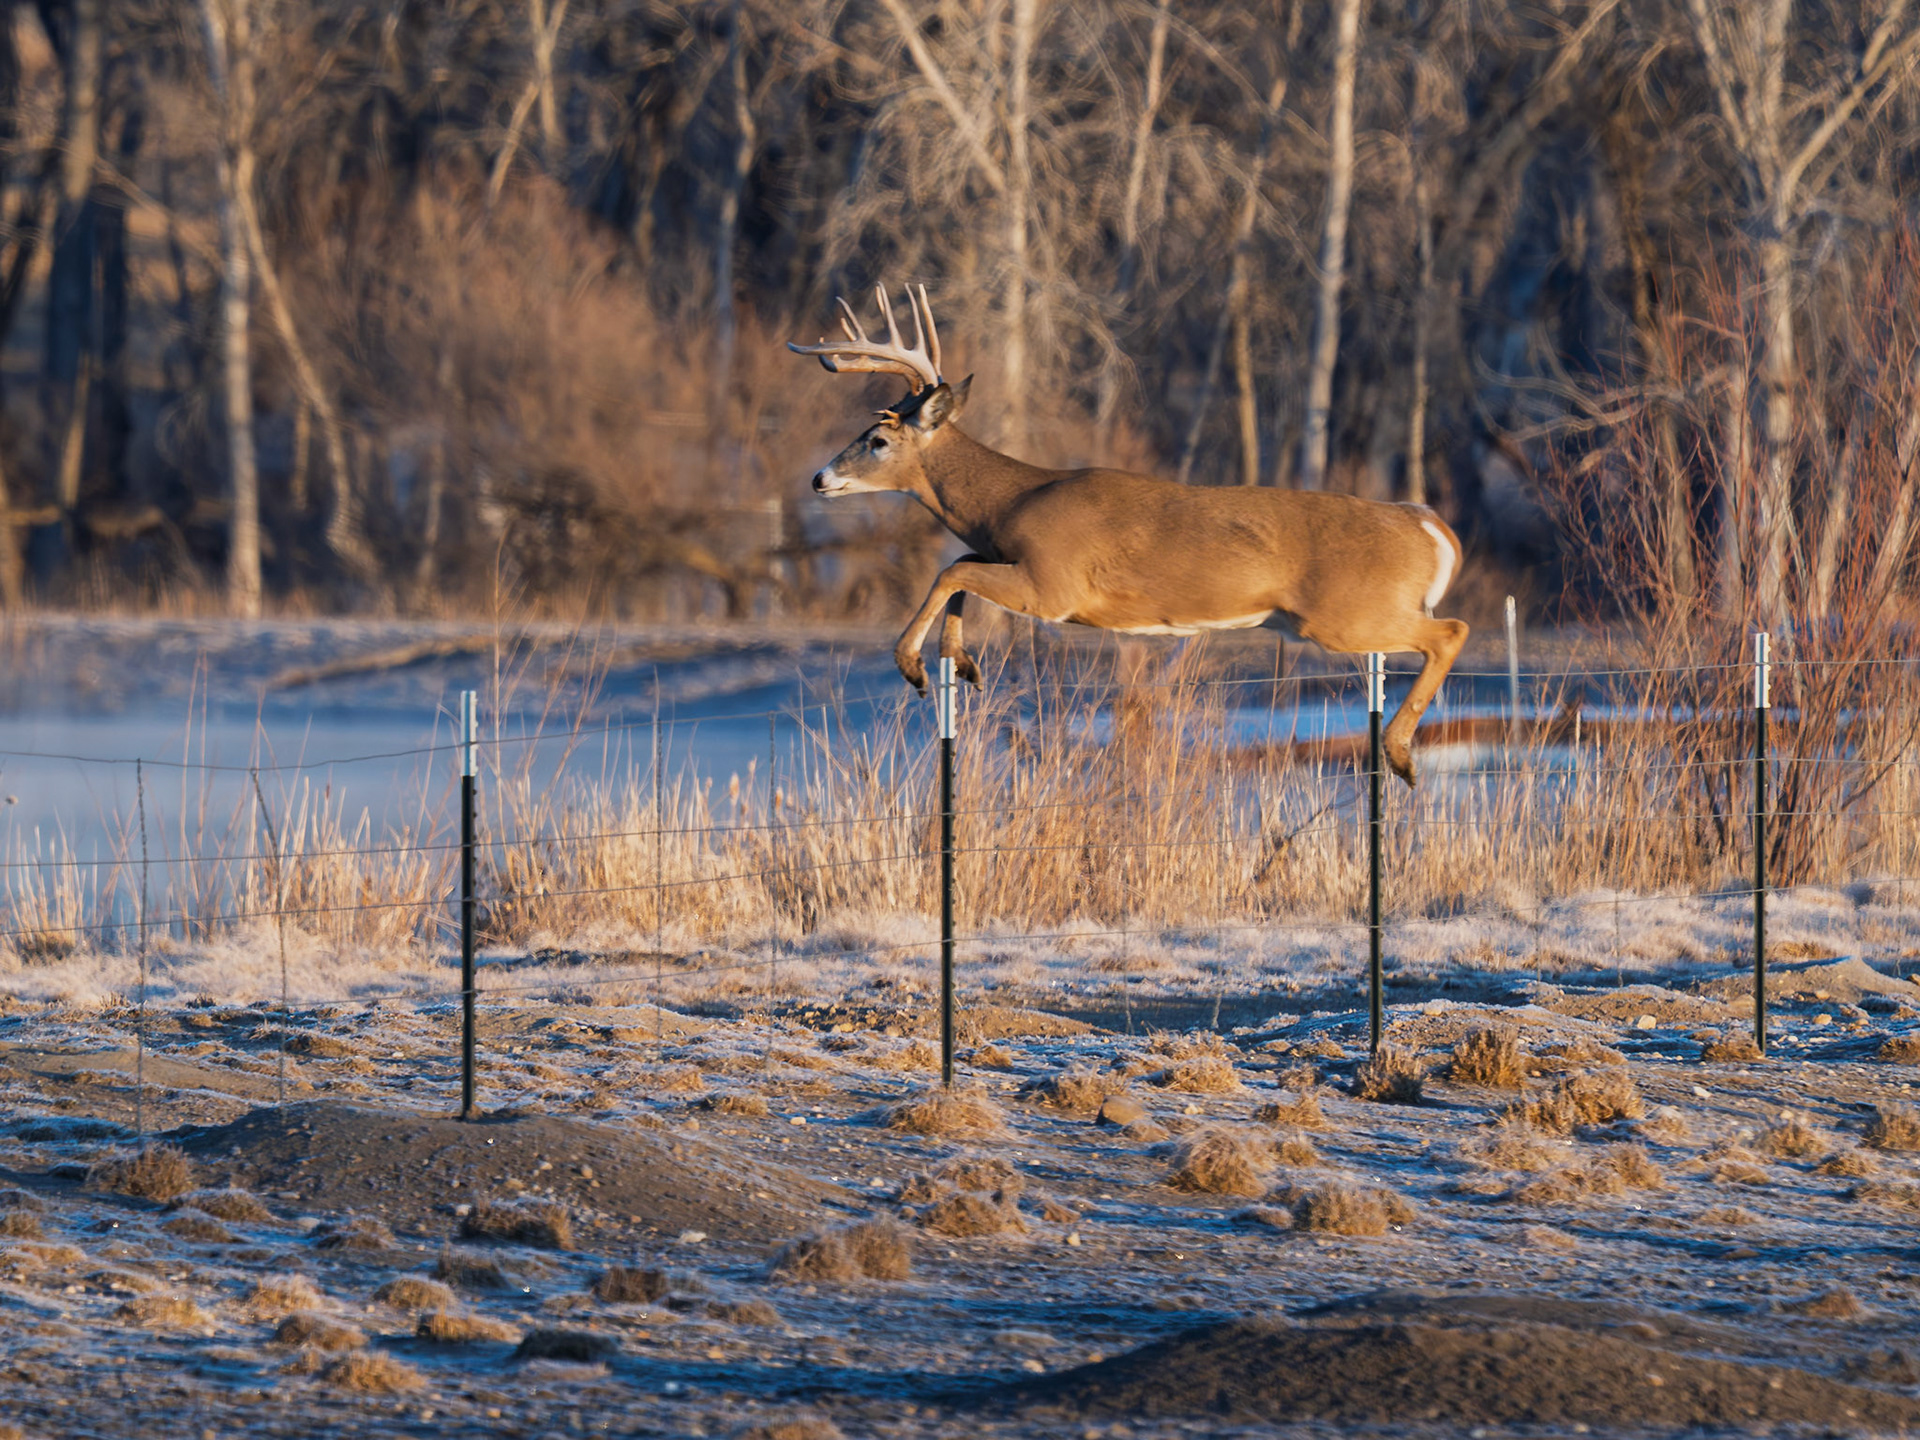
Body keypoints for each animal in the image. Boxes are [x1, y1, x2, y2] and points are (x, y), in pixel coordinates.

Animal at [789, 286, 1469, 786]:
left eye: (878, 440)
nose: (820, 478)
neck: (1012, 502)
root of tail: (1429, 525)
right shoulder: (1017, 564)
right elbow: (960, 564)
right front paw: (964, 662)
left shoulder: (1054, 585)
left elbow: (952, 568)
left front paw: (914, 666)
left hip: (1346, 615)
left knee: (1451, 632)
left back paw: (1400, 754)